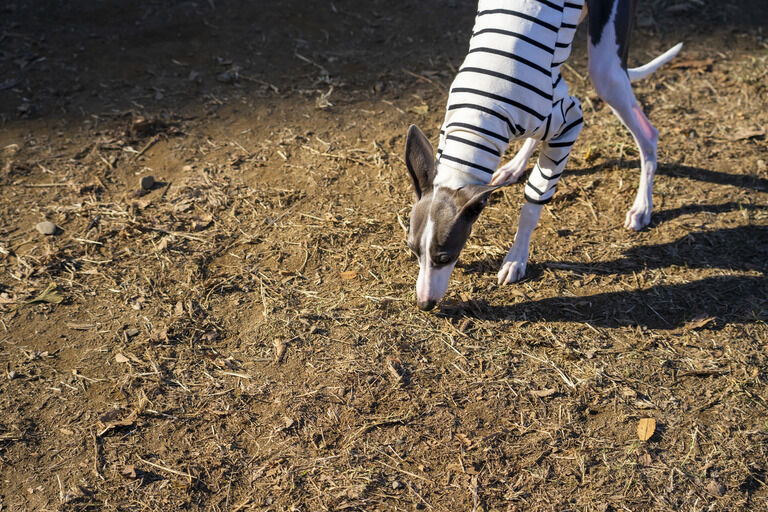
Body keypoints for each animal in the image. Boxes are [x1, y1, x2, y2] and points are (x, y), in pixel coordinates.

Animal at [404, 0, 680, 308]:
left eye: (445, 257)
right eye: (413, 250)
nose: (424, 304)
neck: (476, 119)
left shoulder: (571, 124)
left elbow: (532, 205)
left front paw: (516, 259)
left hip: (605, 71)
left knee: (648, 134)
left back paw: (642, 206)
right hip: (560, 58)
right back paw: (514, 166)